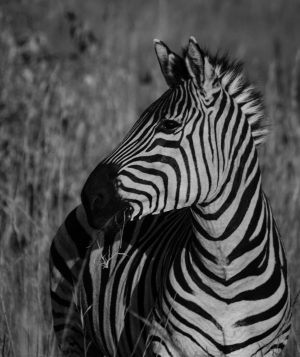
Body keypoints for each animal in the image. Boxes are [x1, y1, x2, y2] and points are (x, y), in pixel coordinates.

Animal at [50, 37, 292, 354]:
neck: (226, 270)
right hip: (72, 332)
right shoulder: (166, 344)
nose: (90, 197)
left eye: (170, 125)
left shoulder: (270, 348)